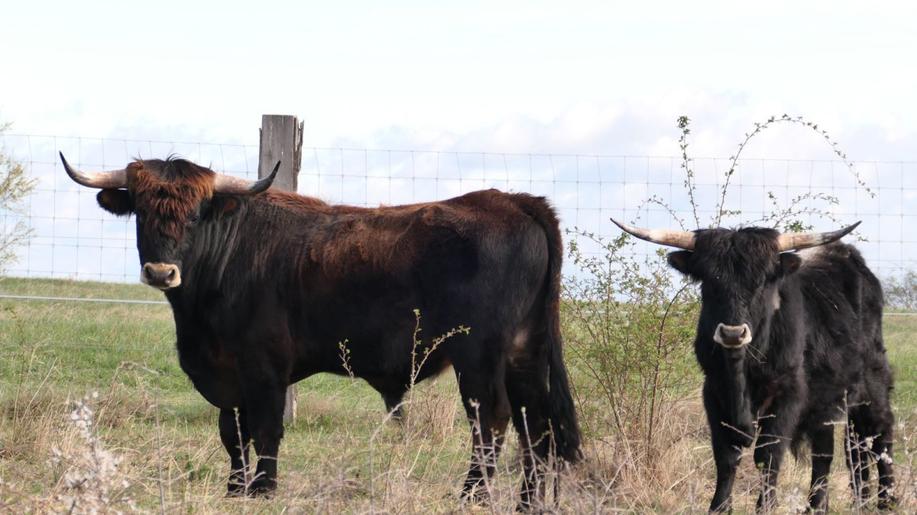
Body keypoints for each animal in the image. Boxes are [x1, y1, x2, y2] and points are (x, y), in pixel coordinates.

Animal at [62, 155, 580, 510]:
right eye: (142, 213)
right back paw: (527, 501)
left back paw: (472, 495)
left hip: (479, 356)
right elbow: (232, 434)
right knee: (535, 426)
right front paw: (234, 489)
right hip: (524, 353)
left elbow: (266, 431)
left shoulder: (265, 369)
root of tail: (513, 201)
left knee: (491, 421)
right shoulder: (228, 377)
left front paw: (263, 490)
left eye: (193, 215)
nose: (161, 272)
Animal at [612, 220, 892, 512]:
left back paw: (885, 500)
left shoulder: (787, 395)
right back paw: (827, 505)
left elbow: (768, 455)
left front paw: (765, 506)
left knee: (880, 437)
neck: (740, 370)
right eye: (710, 281)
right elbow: (726, 455)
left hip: (871, 386)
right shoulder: (713, 393)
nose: (732, 333)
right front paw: (719, 507)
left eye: (761, 282)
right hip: (826, 399)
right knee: (833, 452)